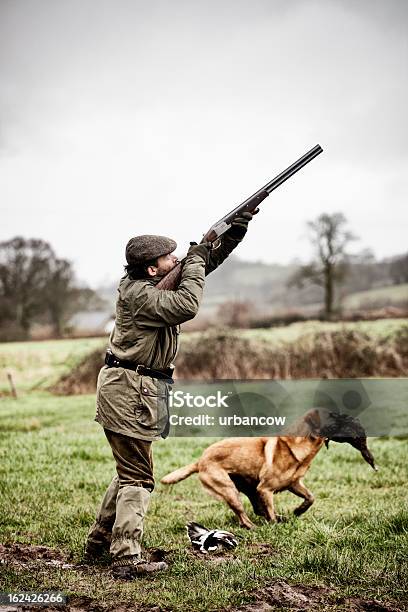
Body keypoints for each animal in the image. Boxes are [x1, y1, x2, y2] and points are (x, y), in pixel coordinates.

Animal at [160, 408, 376, 528]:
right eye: (332, 415)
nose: (351, 418)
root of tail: (200, 460)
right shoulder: (266, 489)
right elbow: (270, 511)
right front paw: (275, 525)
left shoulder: (293, 483)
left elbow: (310, 498)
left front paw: (298, 511)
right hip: (230, 490)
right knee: (244, 516)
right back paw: (255, 527)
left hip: (248, 488)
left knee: (256, 509)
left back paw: (280, 518)